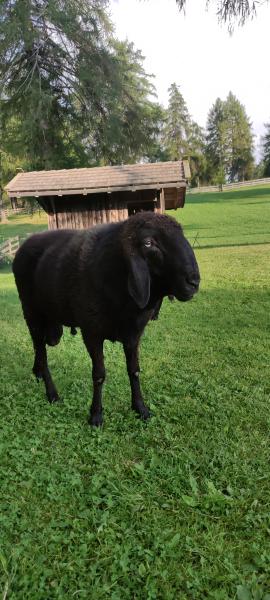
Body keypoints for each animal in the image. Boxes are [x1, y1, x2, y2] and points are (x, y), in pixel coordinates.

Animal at [12, 211, 199, 426]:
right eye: (148, 243)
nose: (194, 282)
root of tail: (24, 244)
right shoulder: (91, 333)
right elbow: (99, 375)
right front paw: (96, 415)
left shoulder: (134, 334)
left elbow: (134, 370)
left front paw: (140, 409)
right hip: (31, 313)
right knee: (42, 355)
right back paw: (52, 394)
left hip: (51, 325)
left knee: (40, 348)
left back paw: (37, 374)